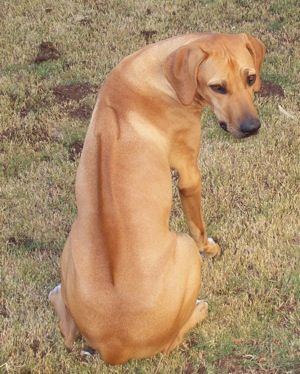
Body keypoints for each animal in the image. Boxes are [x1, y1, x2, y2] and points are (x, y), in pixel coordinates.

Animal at [48, 32, 264, 366]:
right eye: (218, 87)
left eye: (250, 78)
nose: (251, 128)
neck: (161, 75)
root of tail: (113, 347)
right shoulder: (189, 172)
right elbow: (198, 224)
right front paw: (210, 247)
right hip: (184, 252)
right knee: (171, 341)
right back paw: (199, 309)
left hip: (72, 245)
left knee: (68, 328)